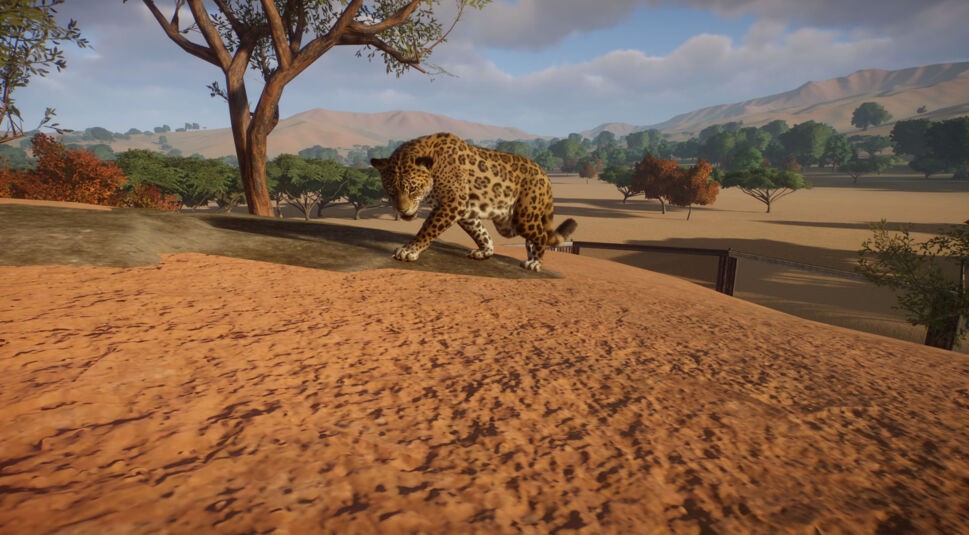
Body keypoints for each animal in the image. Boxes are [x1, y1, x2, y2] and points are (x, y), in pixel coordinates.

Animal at [371, 132, 577, 272]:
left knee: (541, 235)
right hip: (508, 224)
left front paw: (409, 250)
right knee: (533, 237)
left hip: (523, 217)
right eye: (391, 191)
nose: (402, 210)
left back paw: (535, 262)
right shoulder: (464, 211)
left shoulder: (452, 203)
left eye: (413, 189)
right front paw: (485, 251)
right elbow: (480, 232)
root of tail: (544, 174)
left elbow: (427, 228)